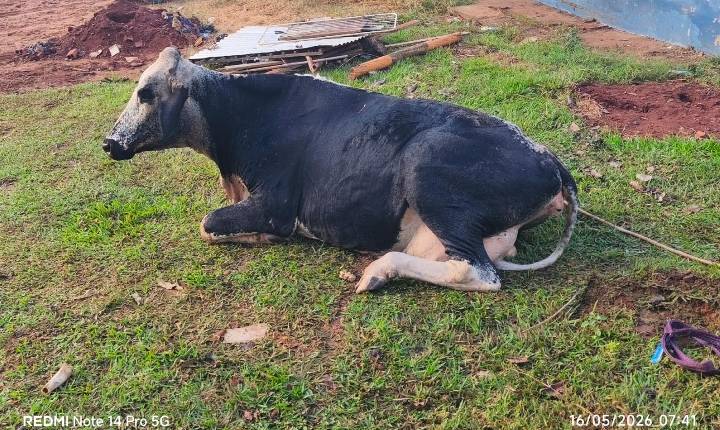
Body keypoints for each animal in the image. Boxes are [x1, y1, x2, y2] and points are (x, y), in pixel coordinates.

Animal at [104, 47, 578, 293]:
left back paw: (377, 272)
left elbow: (209, 224)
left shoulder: (276, 206)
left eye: (145, 93)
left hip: (428, 172)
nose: (109, 142)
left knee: (478, 271)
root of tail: (550, 160)